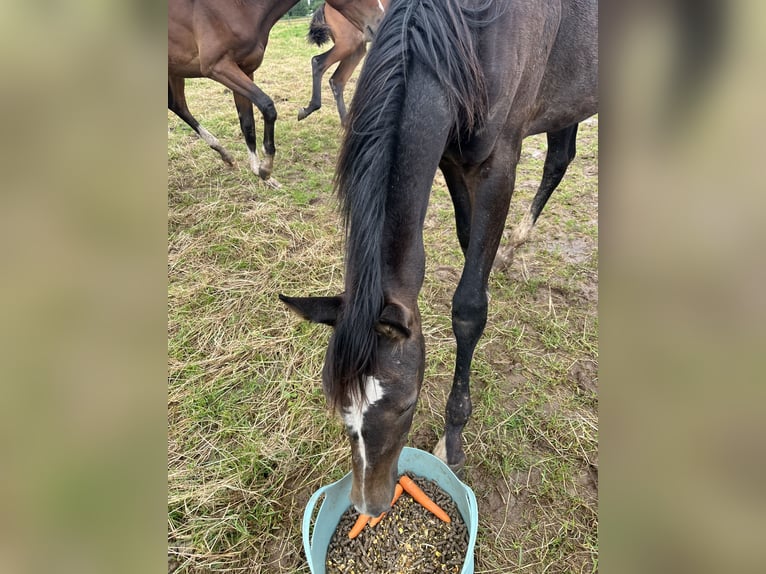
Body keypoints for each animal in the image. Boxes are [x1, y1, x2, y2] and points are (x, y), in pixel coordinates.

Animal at [167, 0, 384, 186]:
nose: (380, 22)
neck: (237, 8)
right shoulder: (219, 67)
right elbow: (267, 106)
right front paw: (266, 167)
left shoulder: (245, 69)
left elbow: (247, 123)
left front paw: (259, 171)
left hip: (175, 70)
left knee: (177, 105)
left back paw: (225, 155)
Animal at [282, 0, 600, 520]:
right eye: (338, 404)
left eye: (407, 405)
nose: (369, 503)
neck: (470, 34)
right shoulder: (452, 158)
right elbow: (469, 245)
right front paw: (493, 260)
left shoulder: (498, 165)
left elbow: (468, 308)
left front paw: (452, 440)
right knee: (560, 157)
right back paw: (514, 246)